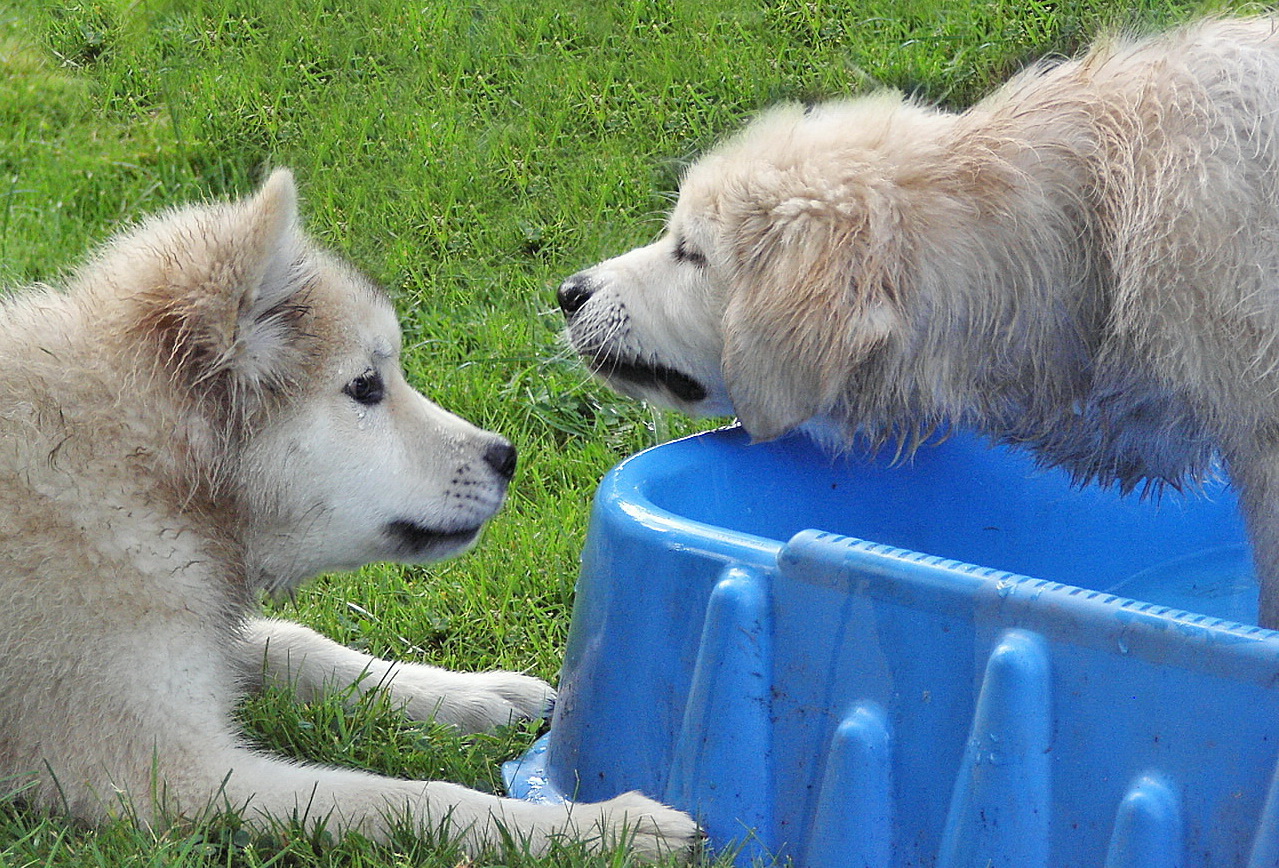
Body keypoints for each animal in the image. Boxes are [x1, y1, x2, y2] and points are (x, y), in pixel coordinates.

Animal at [0, 170, 700, 864]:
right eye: (366, 386)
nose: (507, 457)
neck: (140, 471)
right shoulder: (166, 781)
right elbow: (410, 800)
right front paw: (600, 828)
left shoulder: (206, 633)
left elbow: (299, 645)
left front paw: (475, 694)